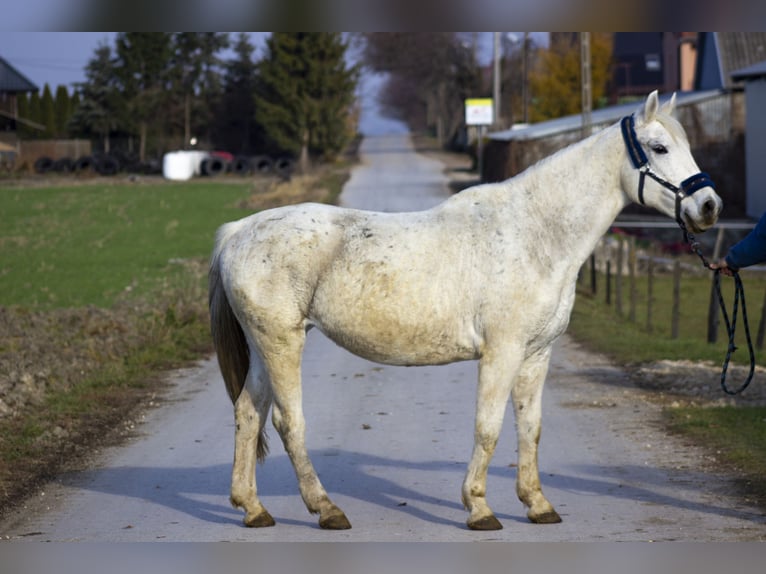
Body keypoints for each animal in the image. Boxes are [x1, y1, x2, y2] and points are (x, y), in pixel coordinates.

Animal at [212, 92, 728, 532]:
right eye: (659, 147)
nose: (709, 206)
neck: (534, 234)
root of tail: (239, 231)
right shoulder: (503, 352)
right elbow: (488, 427)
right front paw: (479, 509)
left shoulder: (537, 354)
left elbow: (530, 429)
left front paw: (538, 505)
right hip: (282, 343)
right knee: (287, 422)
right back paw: (326, 509)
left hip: (264, 346)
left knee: (248, 412)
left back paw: (253, 509)